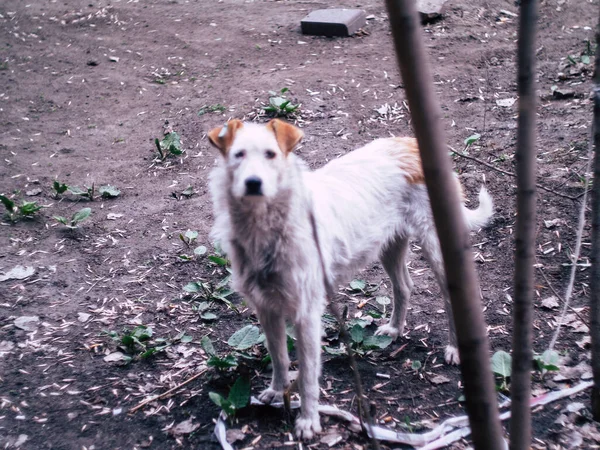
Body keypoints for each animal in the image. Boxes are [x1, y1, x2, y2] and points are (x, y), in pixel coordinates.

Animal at [206, 118, 492, 440]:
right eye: (238, 155)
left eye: (270, 154)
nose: (253, 183)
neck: (268, 227)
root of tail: (409, 143)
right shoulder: (266, 309)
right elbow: (279, 357)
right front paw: (277, 391)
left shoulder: (307, 315)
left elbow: (308, 374)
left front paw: (308, 421)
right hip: (389, 245)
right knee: (404, 286)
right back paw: (394, 329)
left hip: (435, 247)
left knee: (451, 295)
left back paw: (455, 348)